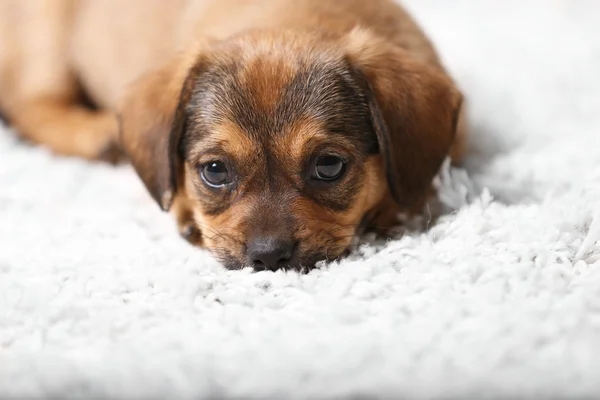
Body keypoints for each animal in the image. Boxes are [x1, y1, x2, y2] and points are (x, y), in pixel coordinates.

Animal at [0, 0, 466, 270]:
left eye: (329, 166)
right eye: (214, 171)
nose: (269, 256)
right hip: (46, 38)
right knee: (29, 103)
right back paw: (97, 134)